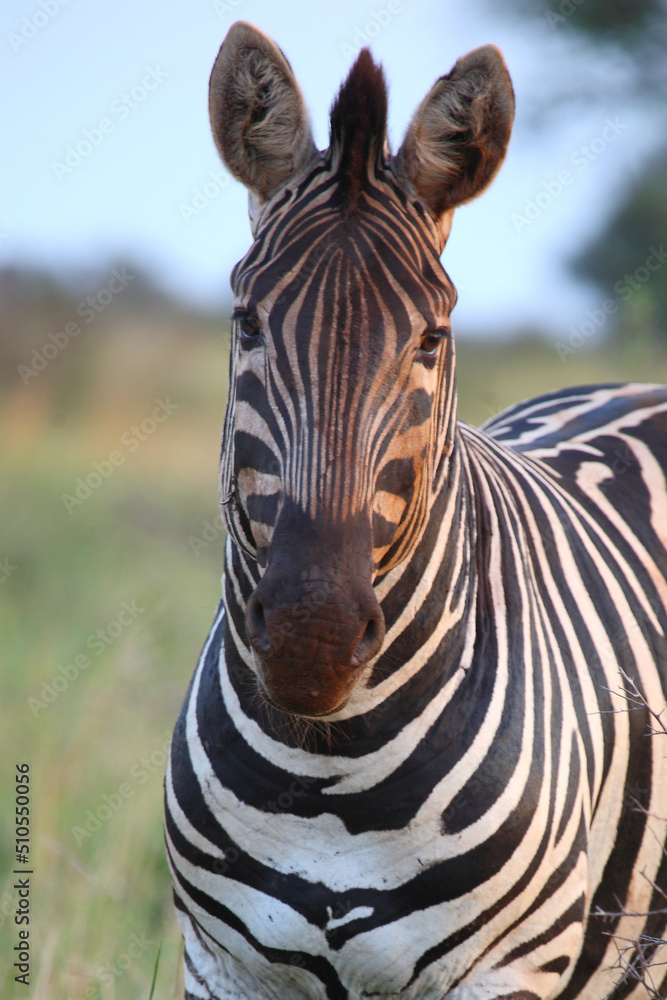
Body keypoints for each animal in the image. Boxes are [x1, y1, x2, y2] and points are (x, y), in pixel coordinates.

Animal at [165, 20, 667, 1000]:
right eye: (246, 324)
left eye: (431, 339)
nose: (310, 642)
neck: (327, 769)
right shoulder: (221, 967)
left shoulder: (506, 972)